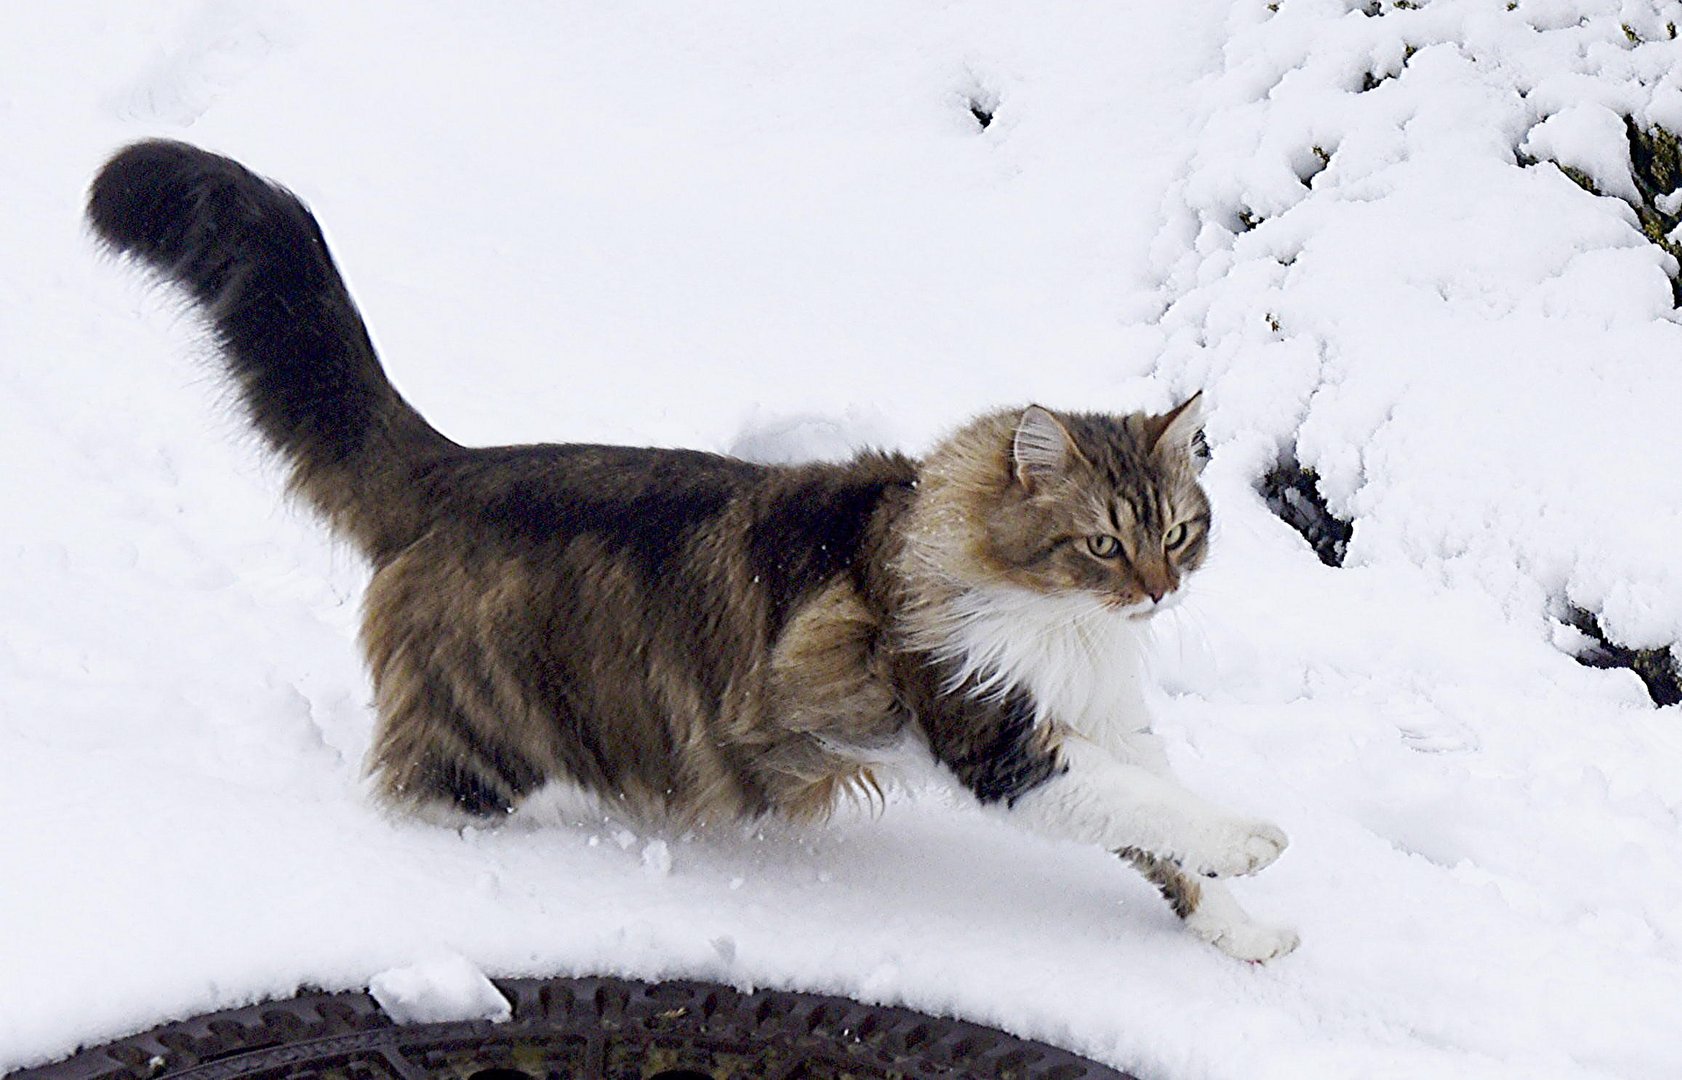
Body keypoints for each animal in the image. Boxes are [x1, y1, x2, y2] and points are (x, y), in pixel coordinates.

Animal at [88, 136, 1298, 955]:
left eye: (1177, 533)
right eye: (1099, 544)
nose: (1154, 594)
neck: (1068, 632)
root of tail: (461, 466)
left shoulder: (1105, 725)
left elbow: (1167, 840)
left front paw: (1244, 930)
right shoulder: (995, 736)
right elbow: (1148, 809)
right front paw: (1255, 842)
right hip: (478, 742)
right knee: (407, 796)